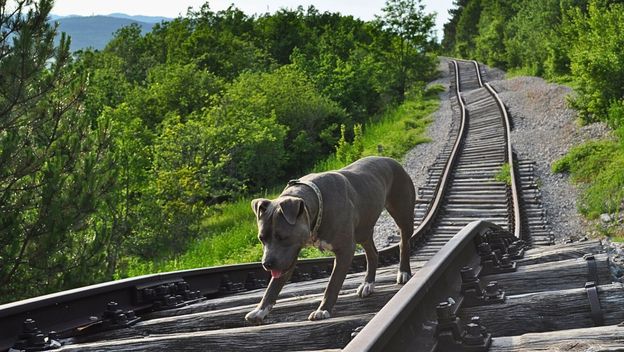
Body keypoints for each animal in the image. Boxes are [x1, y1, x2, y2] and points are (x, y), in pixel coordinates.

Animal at [244, 157, 414, 324]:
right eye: (261, 238)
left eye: (283, 237)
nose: (266, 264)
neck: (317, 205)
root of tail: (392, 161)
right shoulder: (289, 255)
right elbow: (274, 285)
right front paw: (260, 310)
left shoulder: (345, 250)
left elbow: (333, 283)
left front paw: (323, 310)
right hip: (363, 229)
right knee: (372, 253)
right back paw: (368, 284)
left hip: (402, 215)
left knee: (404, 243)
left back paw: (403, 272)